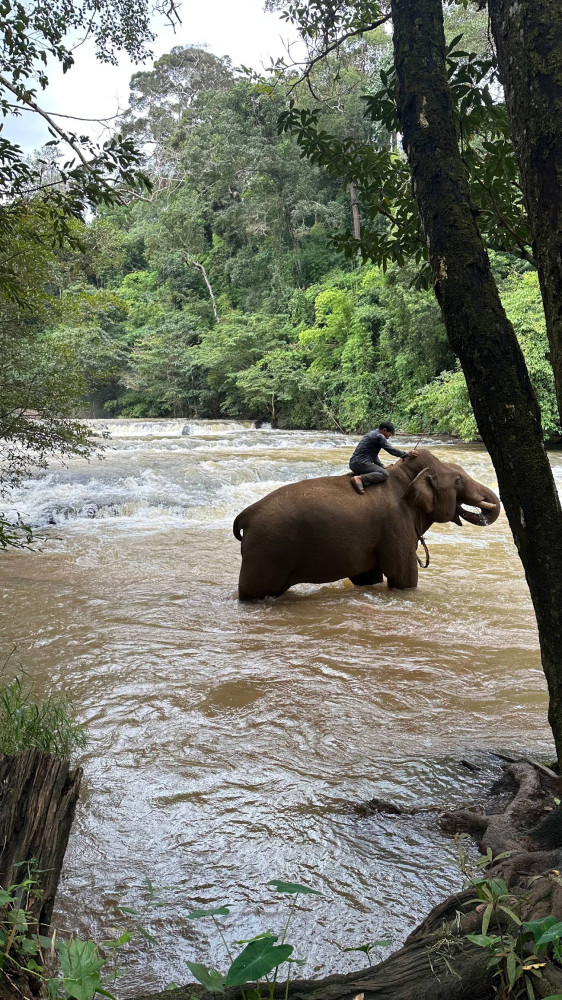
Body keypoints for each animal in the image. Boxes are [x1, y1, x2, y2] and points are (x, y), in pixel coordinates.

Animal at [232, 448, 500, 600]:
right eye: (458, 480)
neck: (405, 477)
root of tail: (246, 513)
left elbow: (368, 578)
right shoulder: (395, 525)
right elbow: (404, 577)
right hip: (266, 550)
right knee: (253, 591)